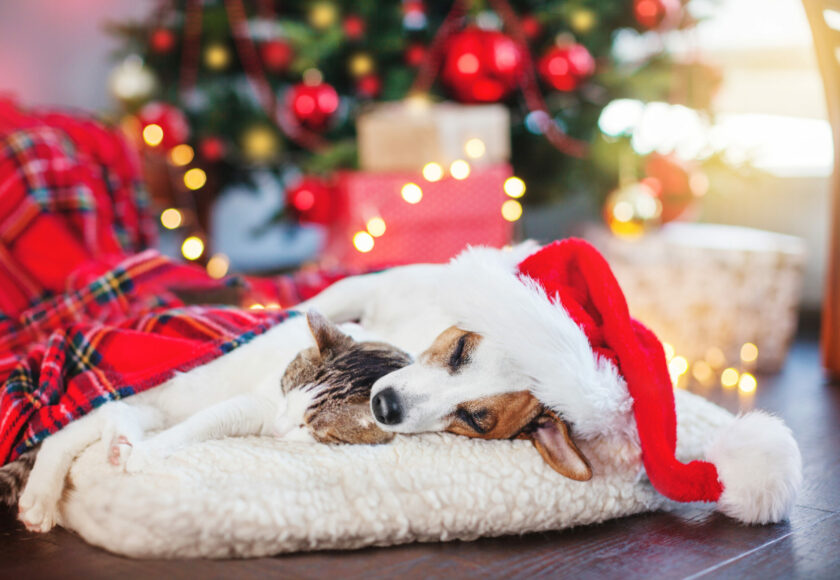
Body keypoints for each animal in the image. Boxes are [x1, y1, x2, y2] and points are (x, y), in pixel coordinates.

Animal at [4, 310, 412, 532]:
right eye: (286, 391)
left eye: (309, 428)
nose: (278, 428)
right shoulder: (256, 402)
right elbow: (201, 423)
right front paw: (146, 454)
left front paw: (138, 451)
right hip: (180, 384)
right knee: (73, 424)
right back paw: (42, 494)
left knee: (117, 413)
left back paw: (119, 442)